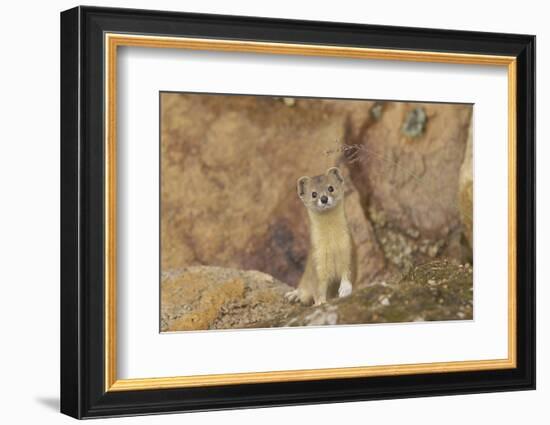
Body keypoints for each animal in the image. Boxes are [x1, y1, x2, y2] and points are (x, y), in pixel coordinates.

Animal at [284, 166, 358, 304]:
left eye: (331, 188)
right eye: (314, 194)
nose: (324, 199)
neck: (332, 244)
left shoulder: (349, 247)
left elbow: (348, 272)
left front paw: (345, 289)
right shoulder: (317, 259)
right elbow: (318, 287)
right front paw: (320, 302)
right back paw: (294, 295)